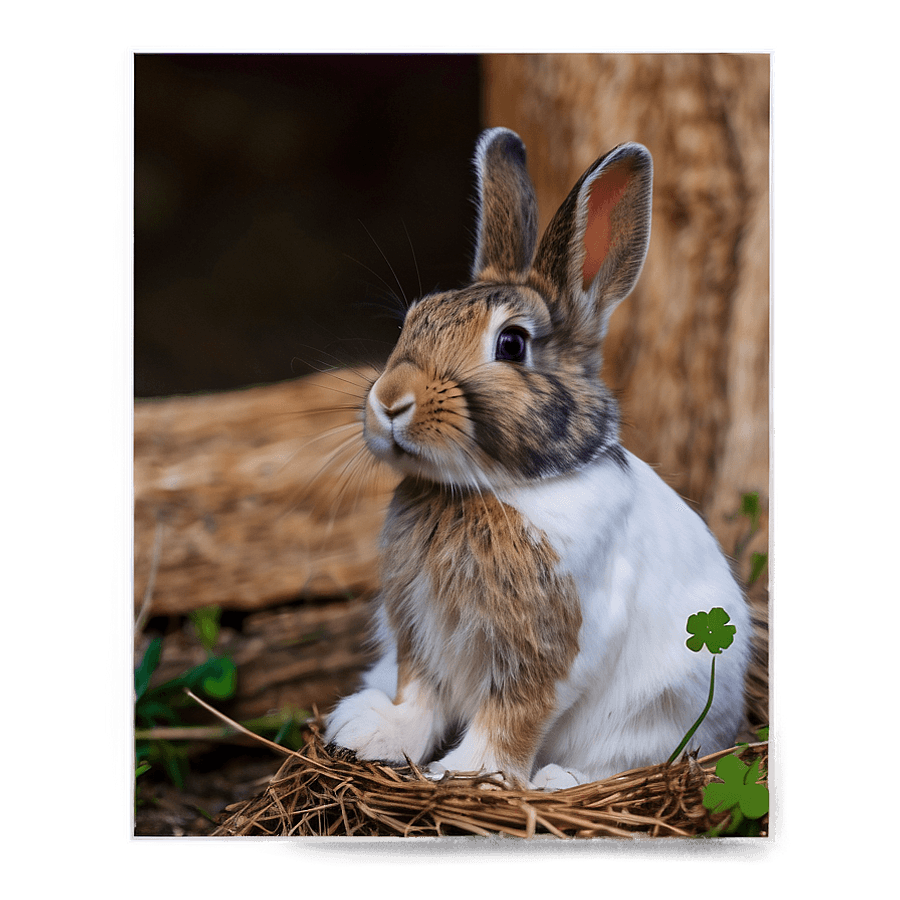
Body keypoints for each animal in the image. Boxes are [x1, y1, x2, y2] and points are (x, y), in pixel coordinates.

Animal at [325, 127, 751, 790]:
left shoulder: (552, 647)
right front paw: (376, 736)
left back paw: (559, 782)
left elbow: (512, 717)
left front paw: (469, 776)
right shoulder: (419, 631)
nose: (390, 402)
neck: (488, 486)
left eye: (511, 343)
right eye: (414, 320)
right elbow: (419, 693)